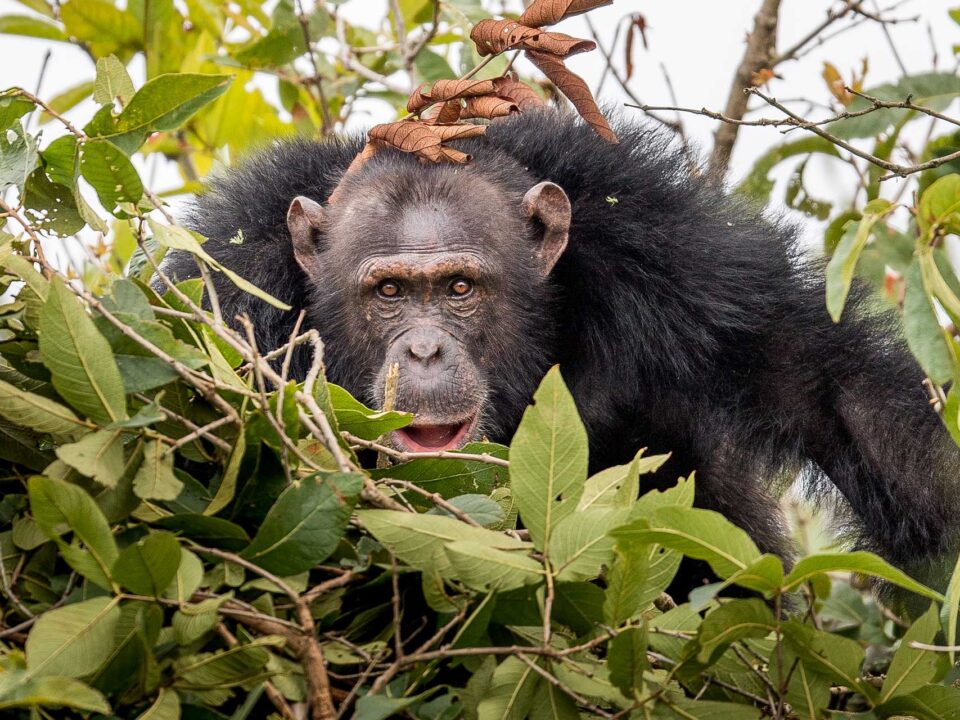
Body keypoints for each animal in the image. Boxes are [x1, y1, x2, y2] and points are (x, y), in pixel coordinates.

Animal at [165, 109, 960, 588]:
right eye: (388, 292)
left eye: (459, 287)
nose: (423, 351)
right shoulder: (224, 289)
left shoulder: (681, 260)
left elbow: (829, 388)